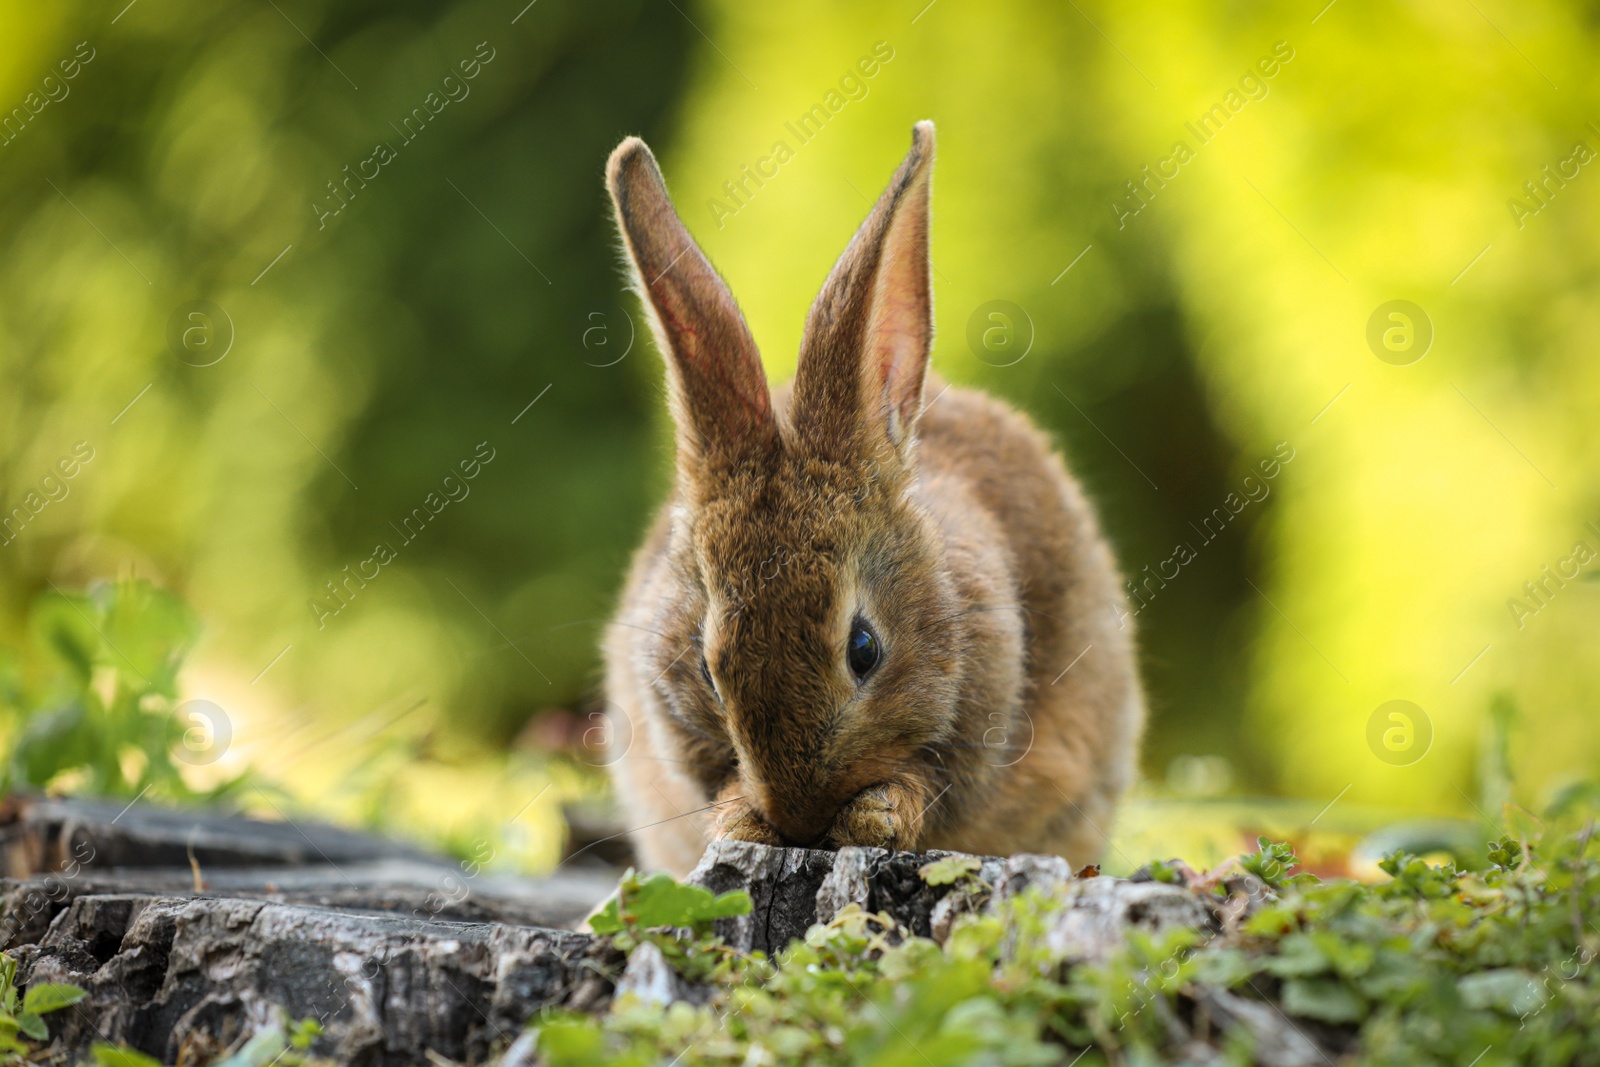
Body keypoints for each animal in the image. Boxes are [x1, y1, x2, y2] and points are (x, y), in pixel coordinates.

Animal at [598, 123, 1139, 876]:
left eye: (864, 649)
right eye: (706, 667)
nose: (798, 819)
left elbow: (931, 788)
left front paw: (873, 815)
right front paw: (744, 817)